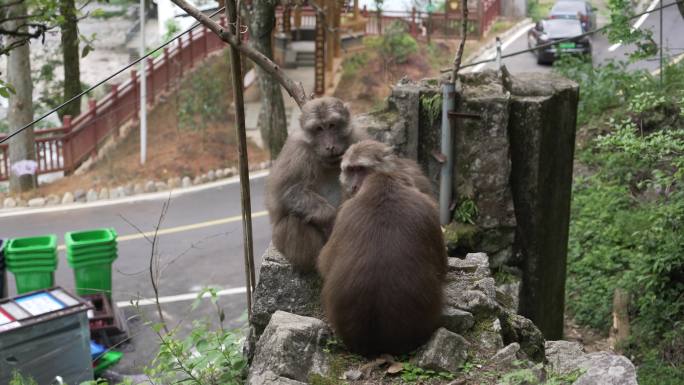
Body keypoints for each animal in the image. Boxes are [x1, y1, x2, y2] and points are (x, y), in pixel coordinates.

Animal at [266, 97, 366, 274]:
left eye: (332, 125)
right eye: (319, 129)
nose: (330, 146)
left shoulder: (357, 137)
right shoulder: (295, 150)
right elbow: (285, 193)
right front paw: (332, 218)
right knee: (295, 218)